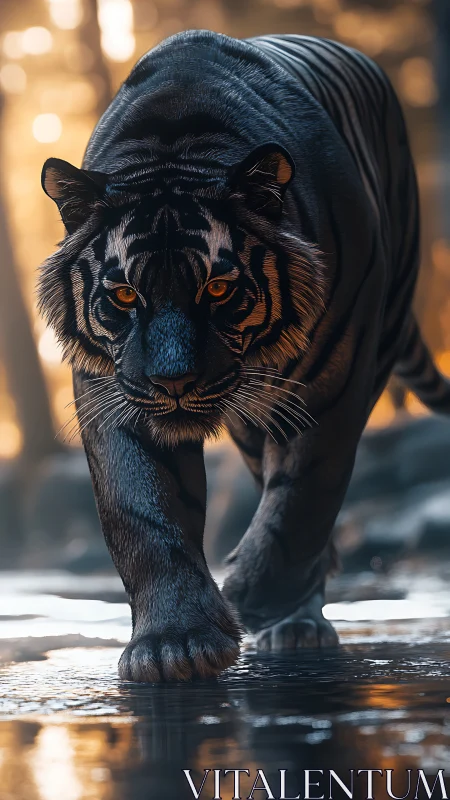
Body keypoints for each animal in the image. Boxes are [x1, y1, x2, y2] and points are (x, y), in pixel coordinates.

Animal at [38, 30, 450, 682]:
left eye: (218, 288)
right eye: (125, 295)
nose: (173, 381)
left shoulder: (332, 385)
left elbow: (301, 503)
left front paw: (254, 599)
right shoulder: (115, 393)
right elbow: (145, 512)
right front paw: (175, 642)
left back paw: (295, 621)